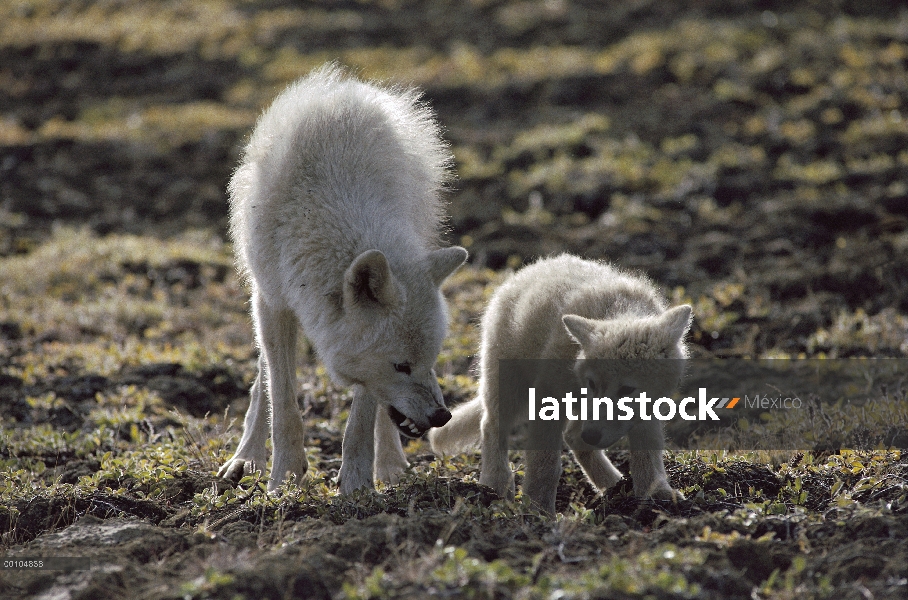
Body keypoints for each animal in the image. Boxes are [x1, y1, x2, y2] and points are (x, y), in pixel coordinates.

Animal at [220, 65, 468, 494]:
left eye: (431, 359)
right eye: (401, 365)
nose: (442, 417)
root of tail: (350, 87)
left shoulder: (363, 365)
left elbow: (362, 419)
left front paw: (356, 484)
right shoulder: (273, 304)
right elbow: (283, 406)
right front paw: (283, 480)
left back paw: (390, 465)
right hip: (263, 298)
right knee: (264, 378)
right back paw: (246, 456)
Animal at [430, 255, 692, 512]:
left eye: (627, 390)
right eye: (592, 383)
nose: (592, 435)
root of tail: (532, 268)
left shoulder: (646, 411)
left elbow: (647, 456)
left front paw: (656, 494)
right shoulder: (548, 398)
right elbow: (545, 464)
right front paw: (538, 511)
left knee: (573, 438)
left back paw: (613, 486)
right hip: (509, 389)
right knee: (491, 425)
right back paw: (496, 484)